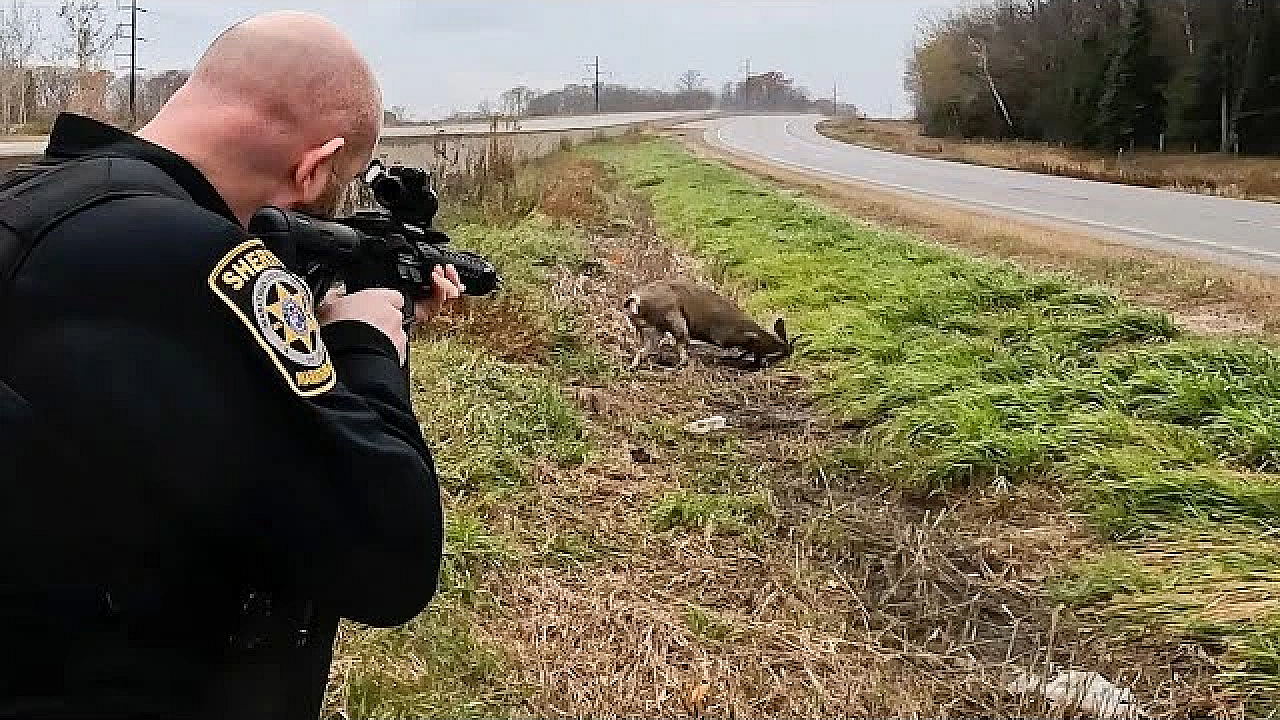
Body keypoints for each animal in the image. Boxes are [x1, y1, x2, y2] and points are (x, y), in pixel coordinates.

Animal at [621, 280, 796, 370]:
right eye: (783, 352)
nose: (788, 353)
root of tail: (635, 299)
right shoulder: (725, 337)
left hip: (650, 328)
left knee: (645, 349)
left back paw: (634, 366)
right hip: (674, 319)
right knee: (681, 343)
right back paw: (681, 364)